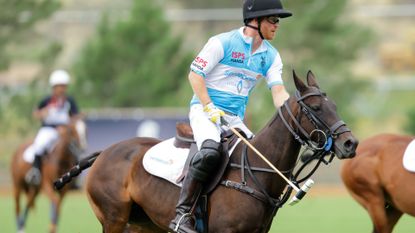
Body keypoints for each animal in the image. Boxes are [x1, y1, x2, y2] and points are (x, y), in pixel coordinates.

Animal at [57, 71, 360, 233]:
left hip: (142, 223)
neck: (255, 170)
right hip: (114, 218)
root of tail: (104, 152)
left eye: (334, 106)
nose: (351, 144)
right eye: (317, 108)